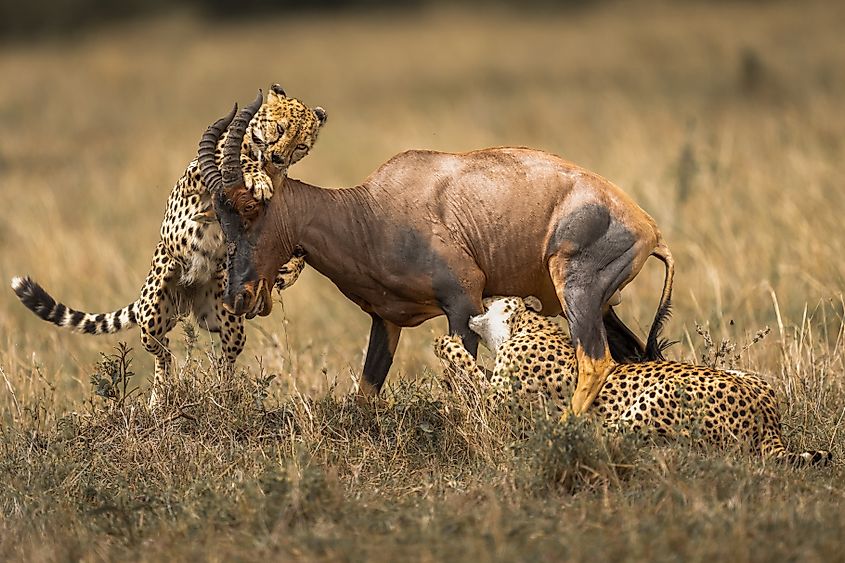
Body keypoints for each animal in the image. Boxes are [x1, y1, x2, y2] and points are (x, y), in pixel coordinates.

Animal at [11, 85, 323, 405]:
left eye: (301, 145)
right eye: (279, 127)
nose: (278, 158)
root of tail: (190, 296)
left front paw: (289, 271)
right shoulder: (197, 175)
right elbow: (231, 161)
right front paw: (257, 179)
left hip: (224, 318)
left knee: (225, 356)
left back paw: (223, 393)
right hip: (153, 312)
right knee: (162, 351)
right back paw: (159, 397)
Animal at [434, 296, 832, 466]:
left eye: (495, 298)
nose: (483, 294)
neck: (523, 326)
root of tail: (769, 424)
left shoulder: (500, 403)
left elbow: (469, 370)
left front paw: (445, 343)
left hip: (656, 398)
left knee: (610, 439)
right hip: (750, 377)